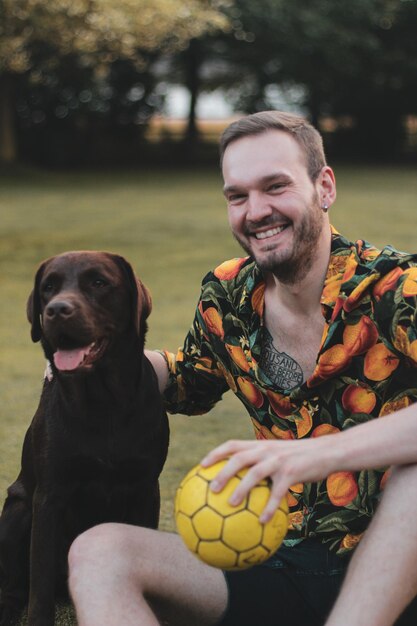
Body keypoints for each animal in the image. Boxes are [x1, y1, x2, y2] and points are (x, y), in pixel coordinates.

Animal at [0, 251, 169, 624]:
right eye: (48, 288)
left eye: (99, 283)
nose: (57, 309)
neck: (103, 404)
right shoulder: (48, 497)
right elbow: (39, 585)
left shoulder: (146, 488)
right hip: (16, 510)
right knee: (14, 586)